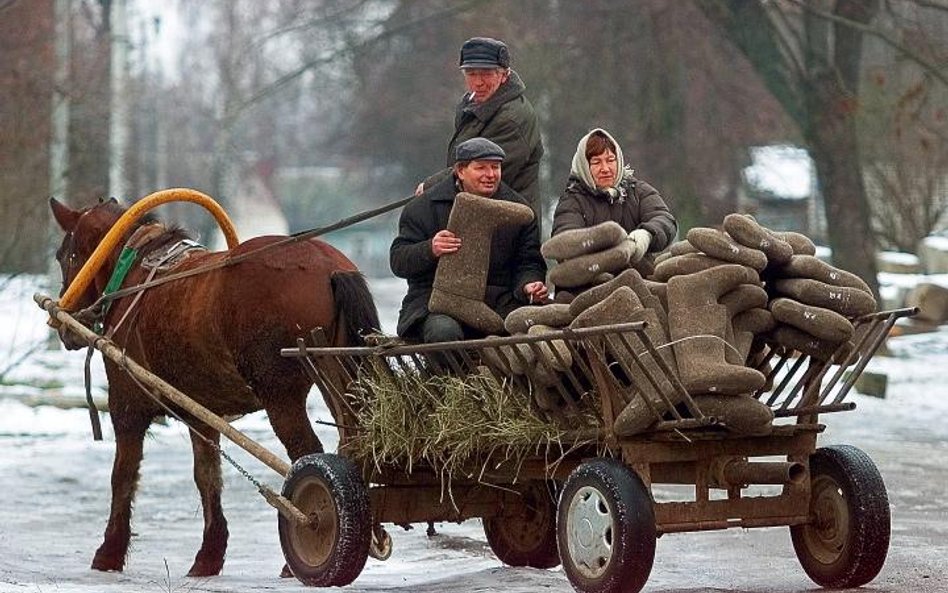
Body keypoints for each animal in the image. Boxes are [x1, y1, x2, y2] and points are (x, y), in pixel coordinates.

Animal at [48, 197, 380, 576]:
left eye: (64, 255)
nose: (66, 327)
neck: (131, 273)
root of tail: (328, 268)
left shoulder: (127, 402)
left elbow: (123, 474)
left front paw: (109, 551)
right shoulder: (201, 411)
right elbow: (207, 476)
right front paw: (210, 553)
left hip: (281, 394)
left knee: (306, 454)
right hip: (337, 373)